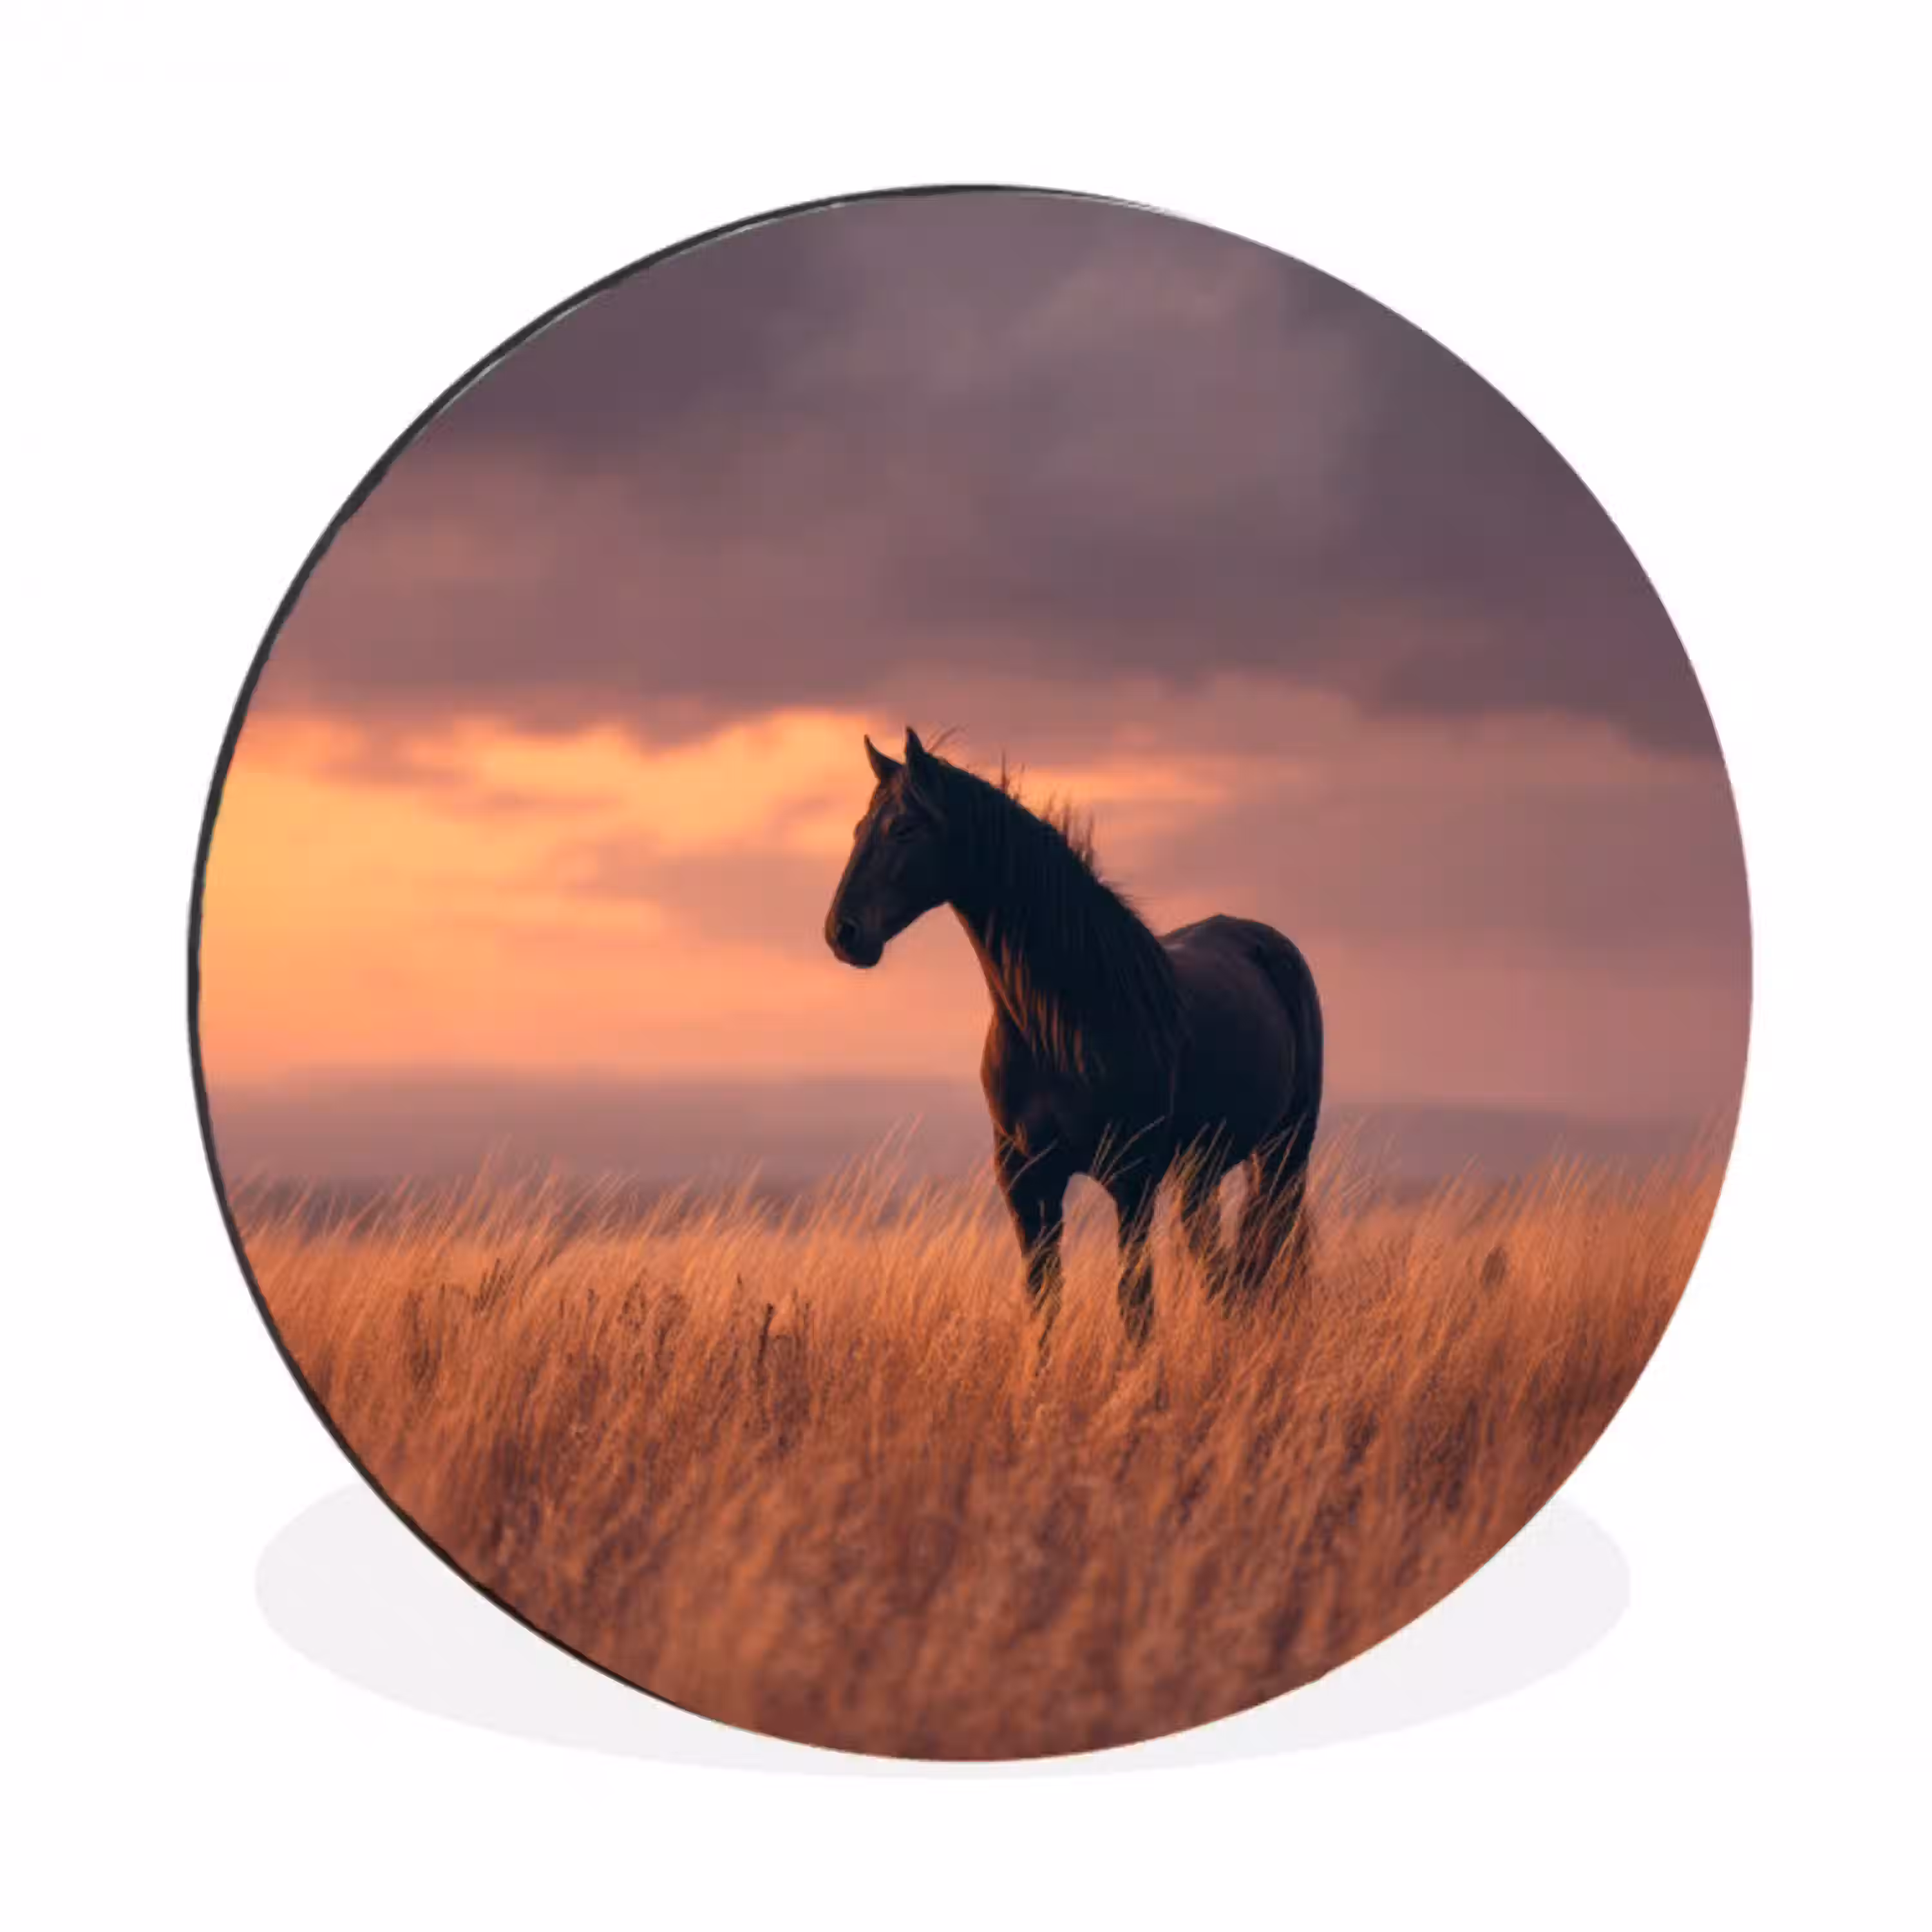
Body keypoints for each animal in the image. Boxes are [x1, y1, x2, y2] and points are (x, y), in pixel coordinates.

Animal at [823, 727, 1323, 1344]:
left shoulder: (1132, 1179)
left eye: (904, 828)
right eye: (858, 829)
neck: (1065, 1025)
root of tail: (1267, 942)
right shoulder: (1025, 1179)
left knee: (1267, 1252)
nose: (842, 933)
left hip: (1285, 1153)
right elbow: (1044, 1301)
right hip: (1201, 1169)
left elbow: (1135, 1304)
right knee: (1221, 1269)